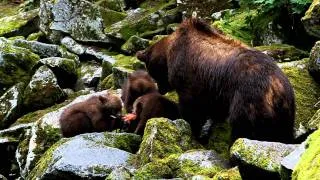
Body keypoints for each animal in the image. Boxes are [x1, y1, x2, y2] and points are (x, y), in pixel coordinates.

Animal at [135, 18, 296, 143]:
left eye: (152, 73)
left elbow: (191, 108)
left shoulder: (190, 79)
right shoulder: (213, 90)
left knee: (243, 127)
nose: (160, 89)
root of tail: (276, 87)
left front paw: (193, 130)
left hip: (249, 98)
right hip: (286, 112)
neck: (169, 53)